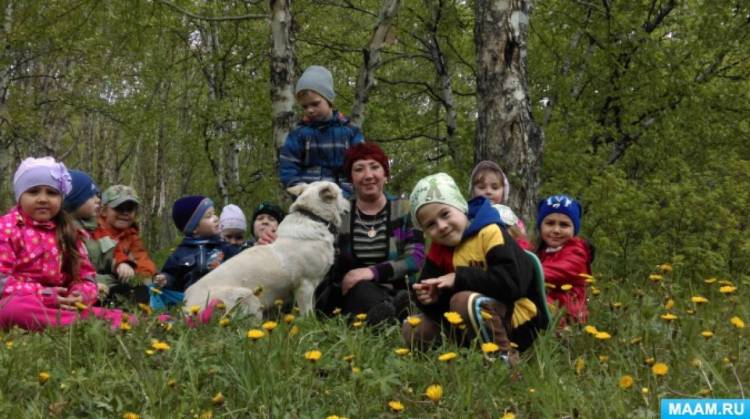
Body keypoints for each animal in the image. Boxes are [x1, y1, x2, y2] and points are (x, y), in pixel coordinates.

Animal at [182, 182, 350, 320]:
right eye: (342, 194)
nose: (350, 202)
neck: (314, 217)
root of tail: (187, 304)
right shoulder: (305, 286)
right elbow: (308, 315)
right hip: (247, 297)